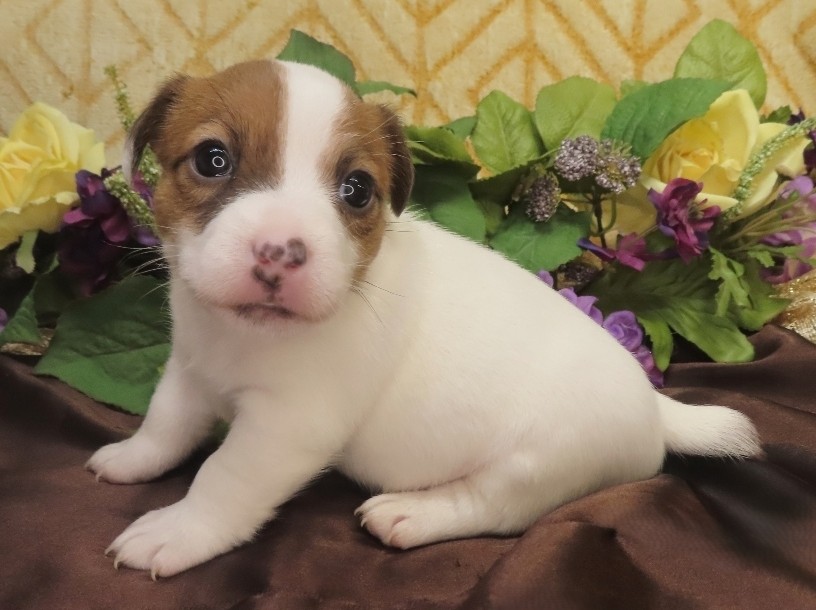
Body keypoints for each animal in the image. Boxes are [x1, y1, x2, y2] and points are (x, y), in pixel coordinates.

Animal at [87, 59, 761, 578]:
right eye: (212, 160)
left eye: (357, 189)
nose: (282, 251)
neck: (241, 337)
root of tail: (656, 410)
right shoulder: (190, 368)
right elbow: (166, 423)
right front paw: (132, 457)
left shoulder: (285, 427)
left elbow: (222, 477)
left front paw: (180, 529)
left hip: (534, 466)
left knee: (495, 508)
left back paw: (413, 512)